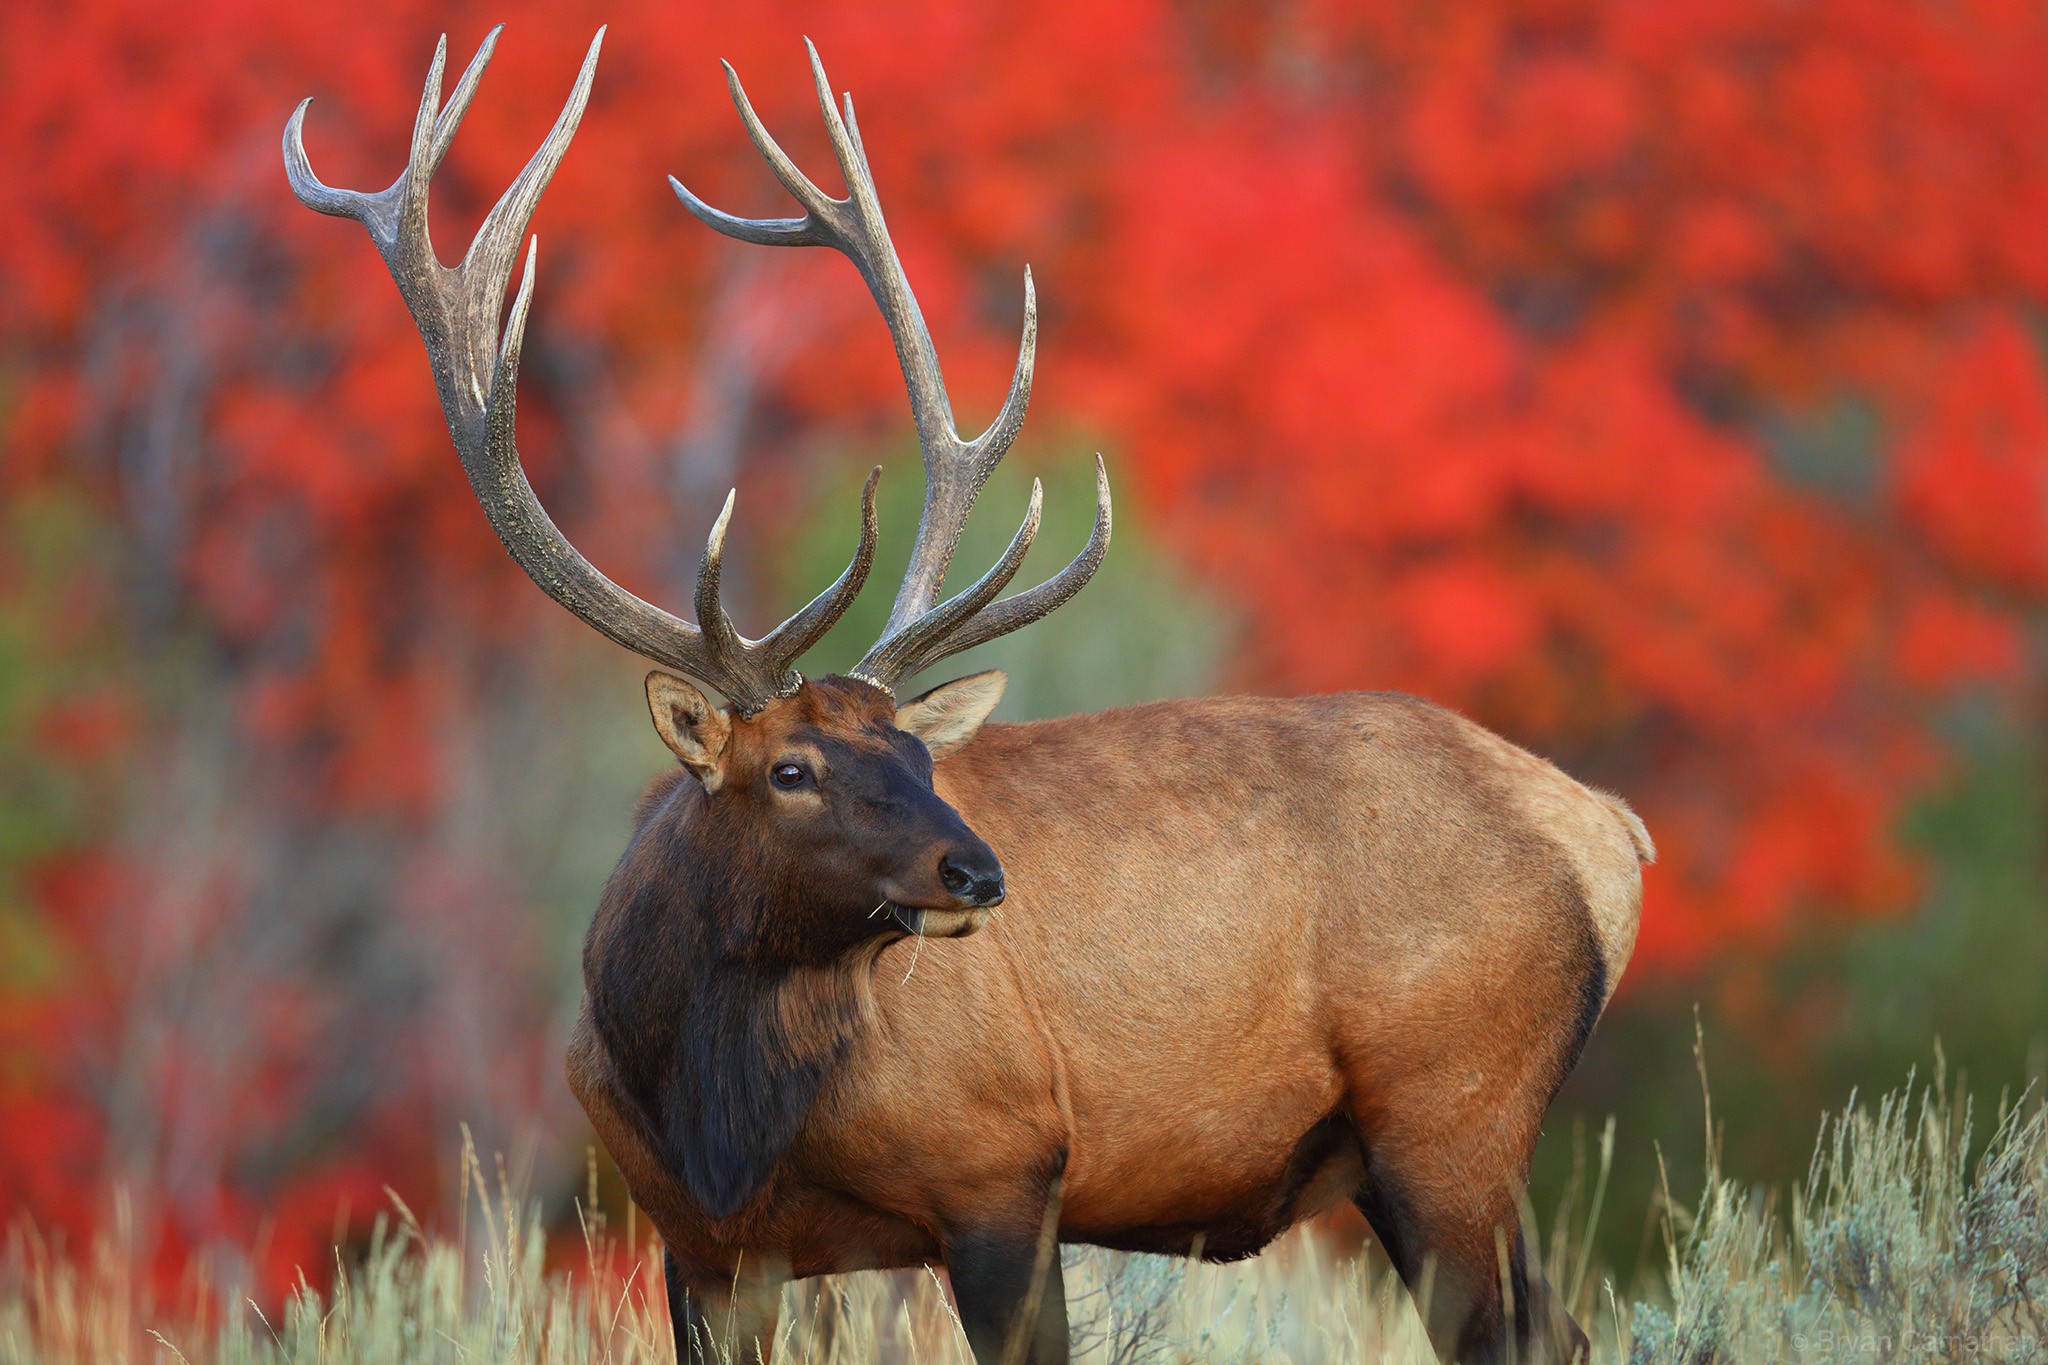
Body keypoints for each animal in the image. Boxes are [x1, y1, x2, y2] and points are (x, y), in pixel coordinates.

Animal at [292, 29, 1662, 1365]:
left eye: (917, 756)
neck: (711, 1112)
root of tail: (1608, 830)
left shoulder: (1004, 1169)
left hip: (1453, 1112)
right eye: (790, 769)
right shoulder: (700, 1249)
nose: (978, 872)